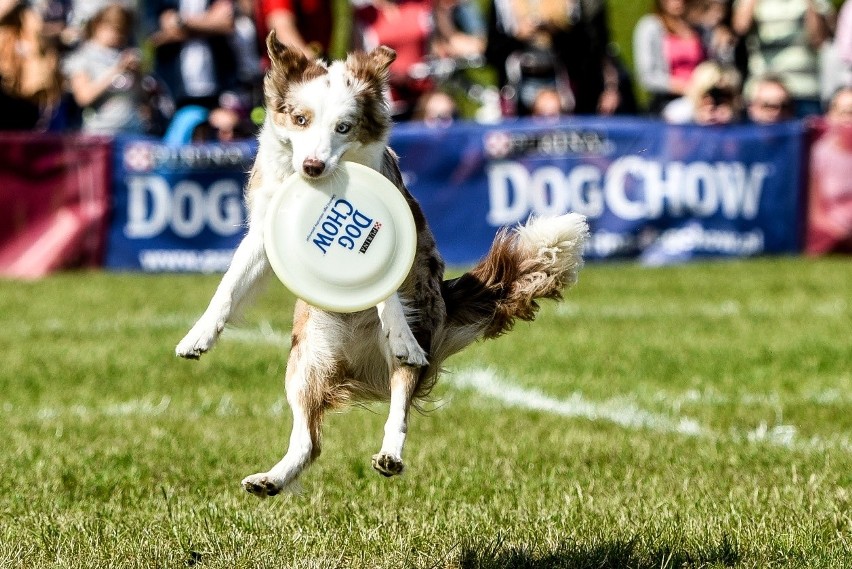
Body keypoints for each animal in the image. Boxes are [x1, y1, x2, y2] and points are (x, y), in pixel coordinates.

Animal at [176, 33, 588, 496]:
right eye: (300, 119)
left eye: (344, 126)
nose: (313, 166)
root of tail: (359, 364)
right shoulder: (265, 231)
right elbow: (228, 286)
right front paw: (198, 337)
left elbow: (387, 287)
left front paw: (396, 326)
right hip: (305, 360)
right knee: (308, 440)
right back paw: (271, 479)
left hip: (414, 338)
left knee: (399, 404)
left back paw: (390, 451)